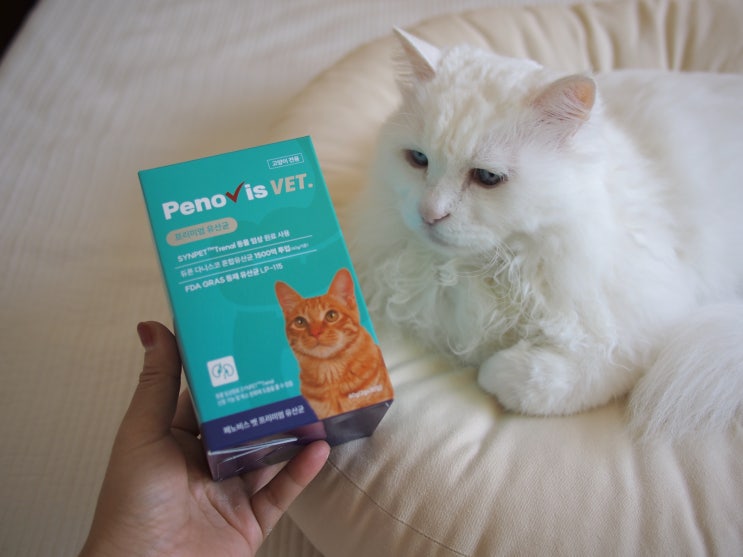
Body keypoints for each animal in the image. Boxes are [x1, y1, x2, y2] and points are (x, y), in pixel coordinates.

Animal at [350, 28, 743, 440]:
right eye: (418, 160)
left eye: (487, 177)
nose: (429, 214)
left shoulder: (644, 330)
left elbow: (545, 379)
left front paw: (493, 372)